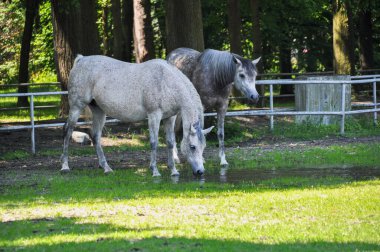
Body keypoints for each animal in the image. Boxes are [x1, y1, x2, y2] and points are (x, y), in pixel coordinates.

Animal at [60, 54, 212, 177]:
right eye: (192, 147)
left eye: (204, 147)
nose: (200, 172)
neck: (166, 82)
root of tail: (81, 60)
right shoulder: (154, 115)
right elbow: (154, 142)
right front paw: (155, 171)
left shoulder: (169, 118)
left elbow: (170, 142)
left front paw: (174, 171)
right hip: (76, 107)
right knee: (68, 132)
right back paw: (65, 166)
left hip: (99, 111)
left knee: (96, 136)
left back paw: (106, 168)